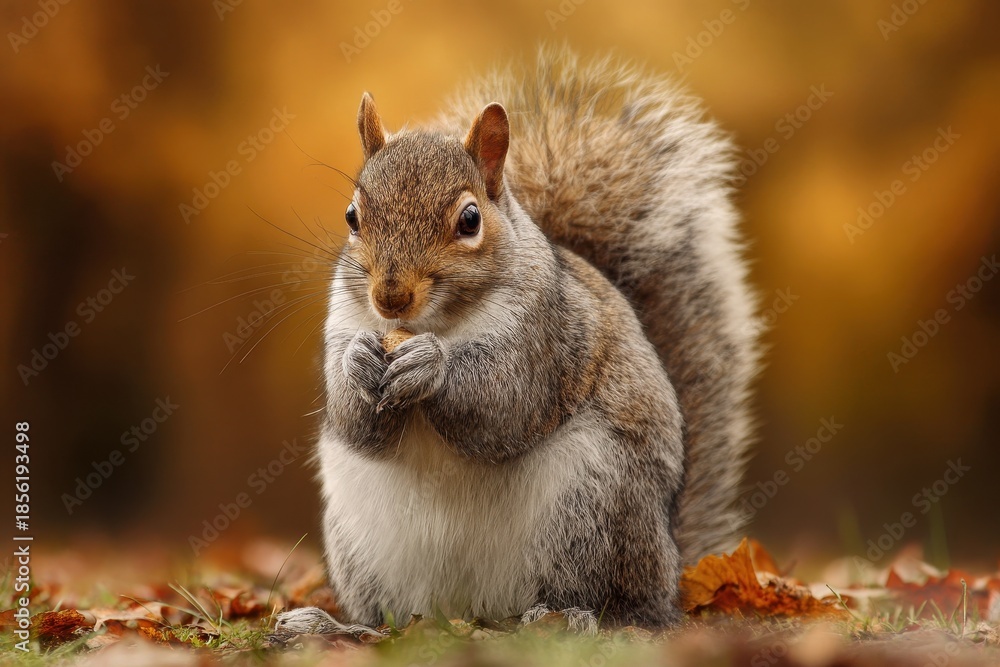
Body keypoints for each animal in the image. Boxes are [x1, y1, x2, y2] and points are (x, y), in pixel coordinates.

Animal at [275, 48, 757, 636]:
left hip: (594, 509)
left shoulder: (544, 336)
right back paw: (332, 626)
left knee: (614, 607)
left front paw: (430, 367)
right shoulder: (342, 318)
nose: (390, 298)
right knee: (392, 622)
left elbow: (504, 406)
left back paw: (567, 617)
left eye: (469, 220)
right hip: (363, 545)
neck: (439, 324)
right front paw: (359, 363)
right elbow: (354, 422)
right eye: (352, 216)